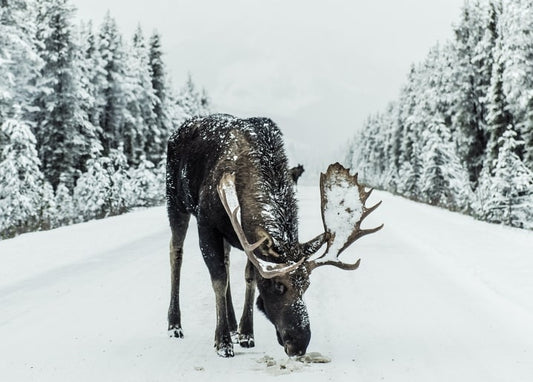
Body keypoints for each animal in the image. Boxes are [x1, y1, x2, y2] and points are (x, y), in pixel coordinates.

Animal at [164, 114, 380, 358]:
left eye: (306, 285)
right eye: (278, 286)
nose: (299, 343)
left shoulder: (247, 238)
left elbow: (249, 277)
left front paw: (246, 333)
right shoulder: (207, 224)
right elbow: (219, 280)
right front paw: (223, 342)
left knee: (226, 261)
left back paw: (232, 323)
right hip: (175, 202)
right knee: (176, 253)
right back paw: (175, 325)